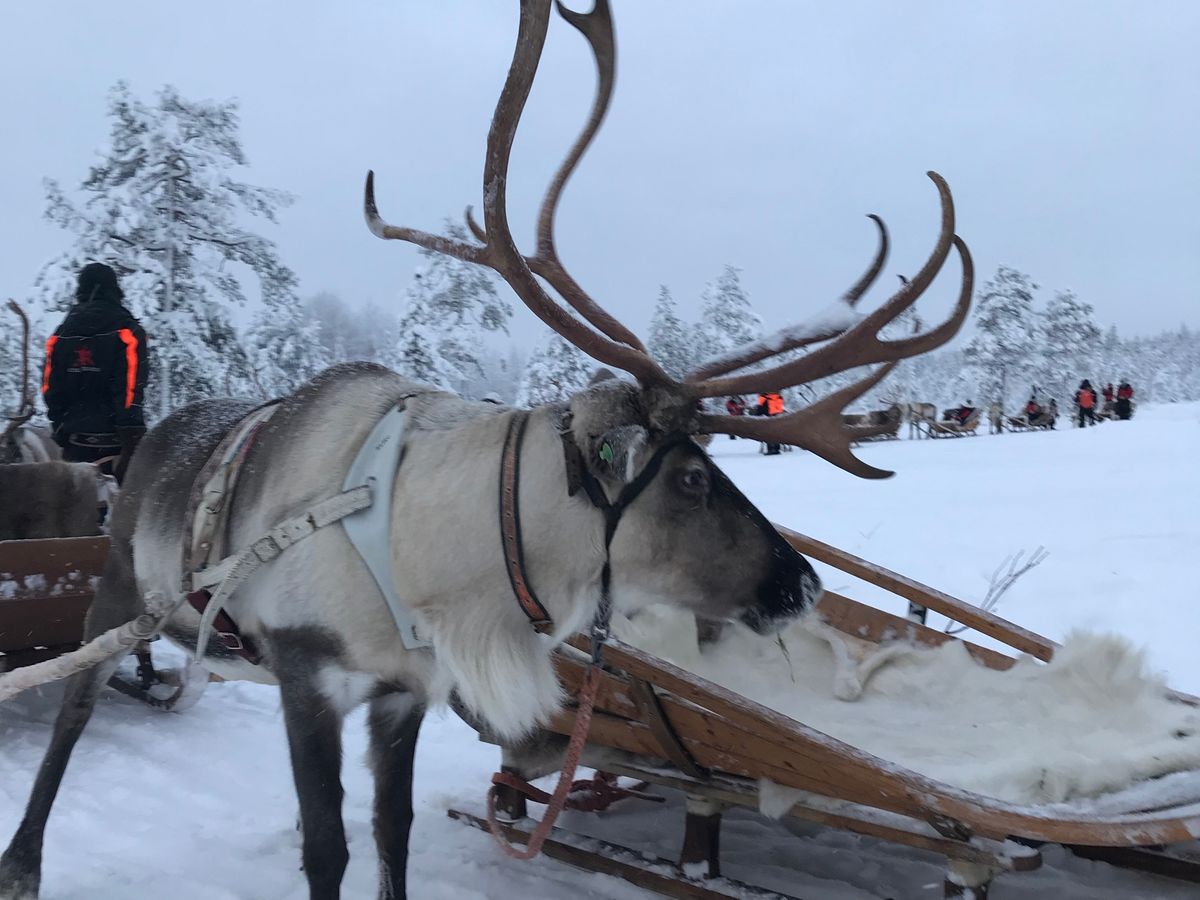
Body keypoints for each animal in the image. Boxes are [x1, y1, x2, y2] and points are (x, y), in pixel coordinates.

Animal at [0, 2, 972, 898]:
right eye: (694, 478)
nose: (801, 584)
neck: (436, 551)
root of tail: (147, 438)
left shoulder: (402, 693)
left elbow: (388, 832)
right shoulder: (308, 672)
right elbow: (331, 850)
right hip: (121, 589)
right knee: (76, 705)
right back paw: (25, 860)